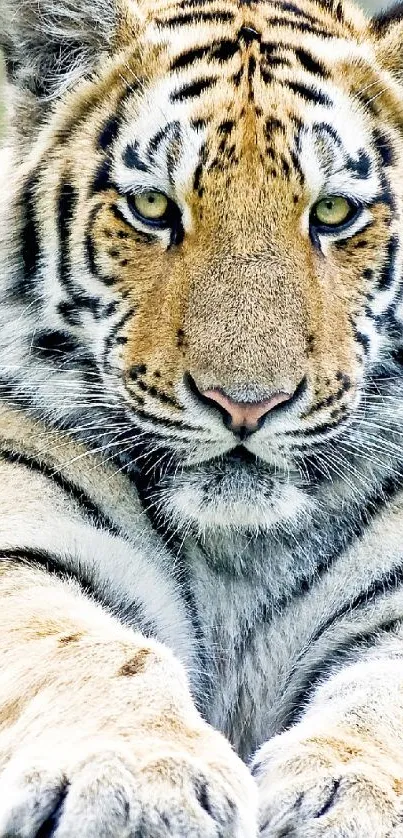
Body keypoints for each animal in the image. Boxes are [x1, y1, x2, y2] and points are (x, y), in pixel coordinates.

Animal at [0, 0, 403, 832]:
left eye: (333, 213)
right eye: (153, 207)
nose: (245, 403)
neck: (237, 554)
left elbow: (380, 701)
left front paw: (349, 799)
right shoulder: (25, 540)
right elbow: (88, 650)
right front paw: (136, 782)